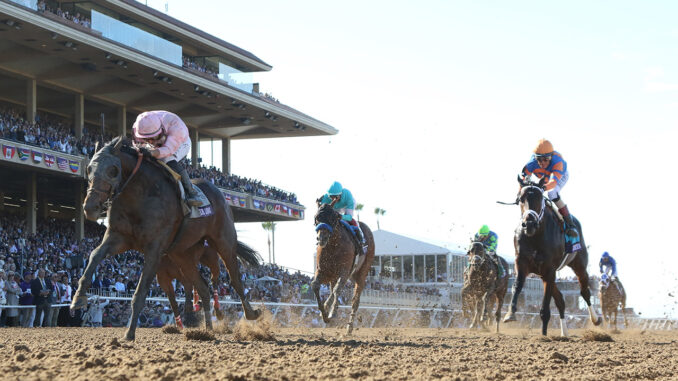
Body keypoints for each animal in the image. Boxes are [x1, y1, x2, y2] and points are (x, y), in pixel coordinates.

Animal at [71, 138, 262, 340]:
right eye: (89, 169)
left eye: (113, 170)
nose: (90, 207)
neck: (140, 195)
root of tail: (218, 193)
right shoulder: (119, 237)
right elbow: (95, 255)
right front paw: (78, 298)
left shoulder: (154, 249)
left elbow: (140, 292)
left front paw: (129, 333)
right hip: (182, 255)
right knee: (202, 287)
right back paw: (207, 329)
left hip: (223, 241)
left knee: (234, 278)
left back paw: (251, 313)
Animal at [314, 202, 378, 332]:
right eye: (317, 217)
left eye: (333, 218)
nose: (322, 238)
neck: (333, 246)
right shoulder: (323, 271)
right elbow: (316, 285)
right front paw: (324, 313)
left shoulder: (344, 271)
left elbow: (337, 289)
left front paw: (332, 313)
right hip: (344, 275)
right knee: (334, 289)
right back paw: (327, 306)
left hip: (361, 273)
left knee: (355, 301)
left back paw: (349, 328)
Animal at [502, 177, 604, 334]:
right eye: (521, 199)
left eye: (540, 198)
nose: (529, 223)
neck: (535, 236)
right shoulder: (522, 263)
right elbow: (517, 285)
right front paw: (510, 314)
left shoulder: (549, 269)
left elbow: (545, 309)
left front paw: (544, 335)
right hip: (544, 274)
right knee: (561, 300)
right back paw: (564, 332)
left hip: (578, 265)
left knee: (585, 292)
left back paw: (595, 319)